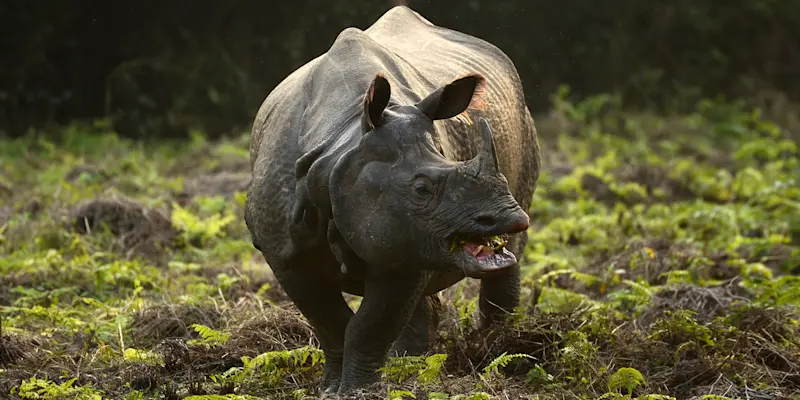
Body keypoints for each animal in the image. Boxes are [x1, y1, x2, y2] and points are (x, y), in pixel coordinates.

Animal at [244, 5, 541, 395]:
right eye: (421, 189)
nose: (509, 217)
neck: (341, 142)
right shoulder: (285, 253)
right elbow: (330, 322)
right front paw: (331, 390)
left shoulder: (410, 241)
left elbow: (369, 326)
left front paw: (358, 392)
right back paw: (411, 366)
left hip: (521, 118)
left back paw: (492, 349)